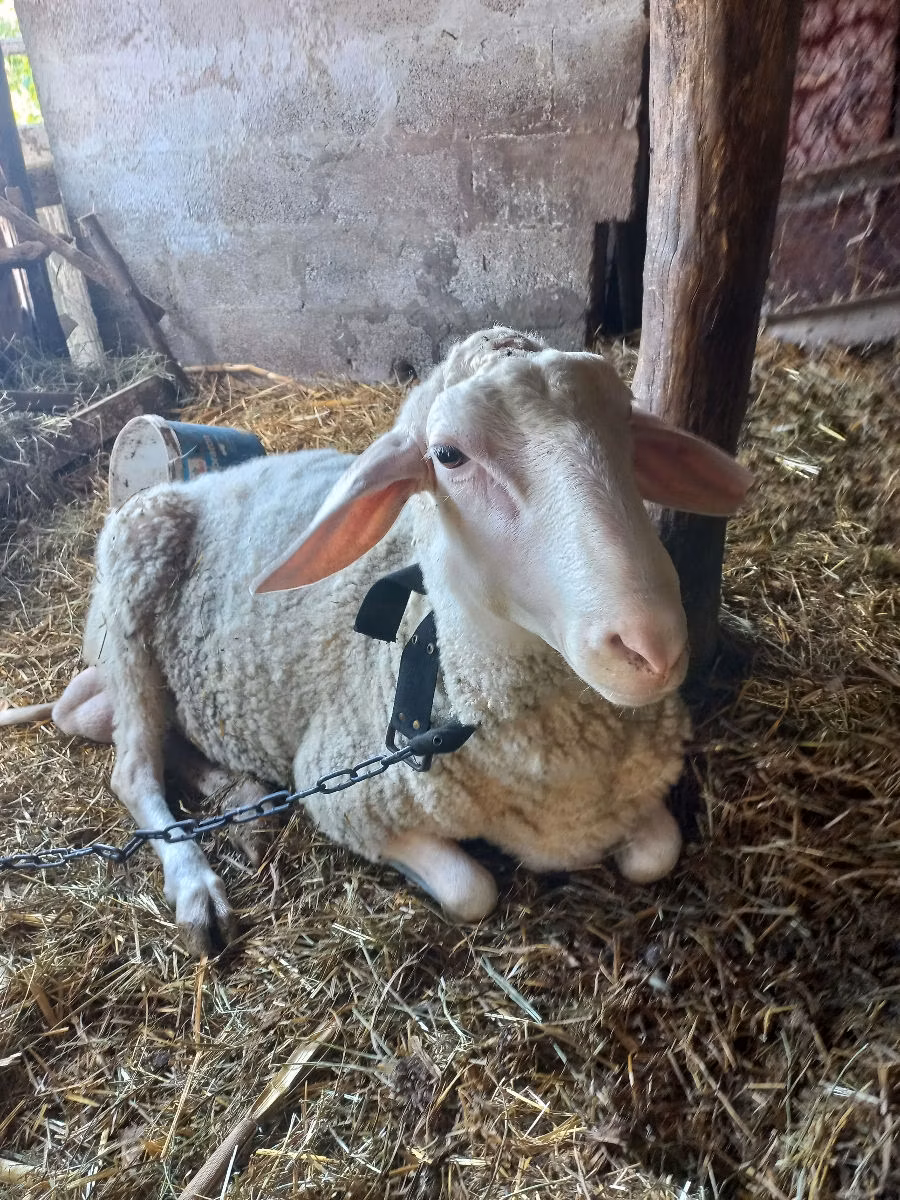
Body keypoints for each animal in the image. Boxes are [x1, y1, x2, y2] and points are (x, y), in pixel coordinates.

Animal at [6, 328, 752, 954]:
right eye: (449, 456)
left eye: (625, 425)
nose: (650, 645)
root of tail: (201, 482)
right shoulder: (342, 791)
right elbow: (472, 890)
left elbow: (657, 853)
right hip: (129, 602)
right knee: (133, 768)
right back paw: (198, 888)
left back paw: (238, 796)